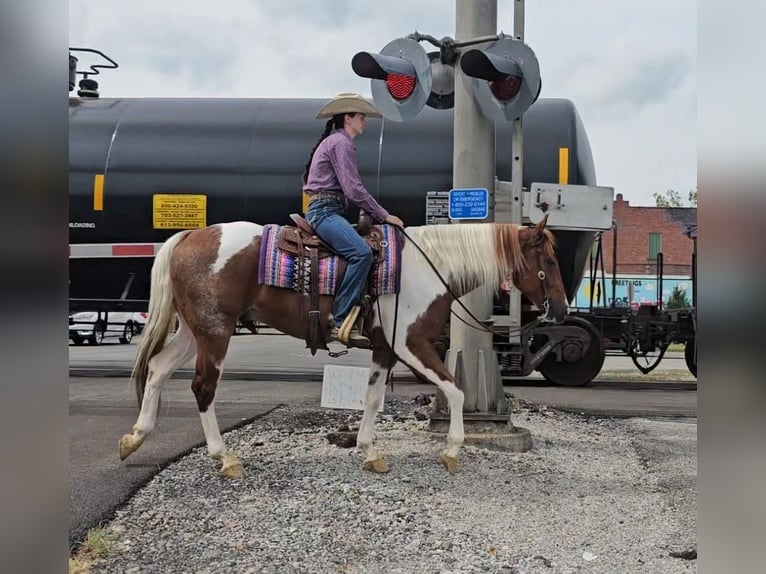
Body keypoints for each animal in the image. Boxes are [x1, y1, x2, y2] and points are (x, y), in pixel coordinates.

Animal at [118, 214, 568, 478]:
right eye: (548, 261)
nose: (561, 309)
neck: (431, 265)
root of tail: (188, 236)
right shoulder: (412, 345)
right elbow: (455, 390)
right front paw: (454, 451)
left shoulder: (386, 349)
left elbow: (371, 399)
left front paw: (369, 452)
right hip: (215, 331)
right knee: (203, 387)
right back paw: (224, 457)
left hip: (194, 331)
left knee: (158, 368)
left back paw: (136, 437)